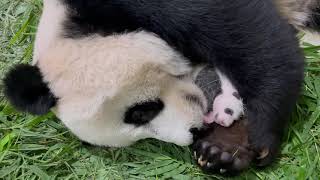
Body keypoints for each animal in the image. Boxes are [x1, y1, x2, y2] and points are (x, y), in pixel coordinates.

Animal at [3, 0, 320, 174]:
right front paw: (222, 149)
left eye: (141, 112)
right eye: (140, 135)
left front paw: (258, 135)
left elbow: (252, 38)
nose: (192, 133)